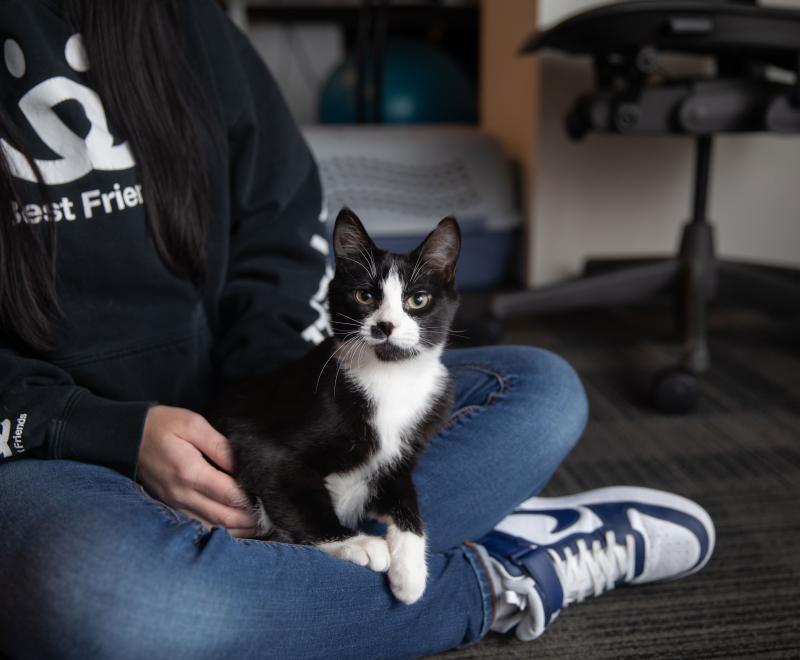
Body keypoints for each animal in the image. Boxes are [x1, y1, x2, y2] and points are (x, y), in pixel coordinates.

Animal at [211, 208, 462, 604]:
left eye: (418, 299)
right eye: (365, 296)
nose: (386, 325)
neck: (390, 379)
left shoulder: (401, 454)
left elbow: (406, 498)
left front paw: (410, 570)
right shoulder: (260, 439)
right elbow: (297, 495)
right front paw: (357, 543)